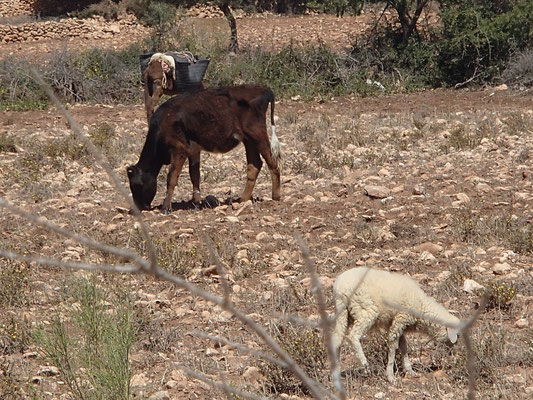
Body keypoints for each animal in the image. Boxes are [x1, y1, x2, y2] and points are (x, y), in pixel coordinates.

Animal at [126, 85, 280, 212]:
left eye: (137, 184)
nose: (139, 207)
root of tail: (262, 88)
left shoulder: (179, 148)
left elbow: (172, 177)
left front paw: (166, 207)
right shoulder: (193, 149)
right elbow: (194, 175)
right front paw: (196, 202)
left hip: (257, 133)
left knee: (272, 162)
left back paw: (276, 196)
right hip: (248, 139)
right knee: (254, 165)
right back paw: (243, 199)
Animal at [330, 266, 460, 382]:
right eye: (457, 335)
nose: (454, 351)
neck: (421, 306)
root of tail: (340, 286)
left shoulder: (397, 323)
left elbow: (404, 347)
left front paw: (410, 371)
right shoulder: (400, 318)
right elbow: (393, 346)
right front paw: (390, 376)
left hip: (343, 313)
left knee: (337, 339)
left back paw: (335, 373)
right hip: (365, 309)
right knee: (353, 336)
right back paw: (365, 365)